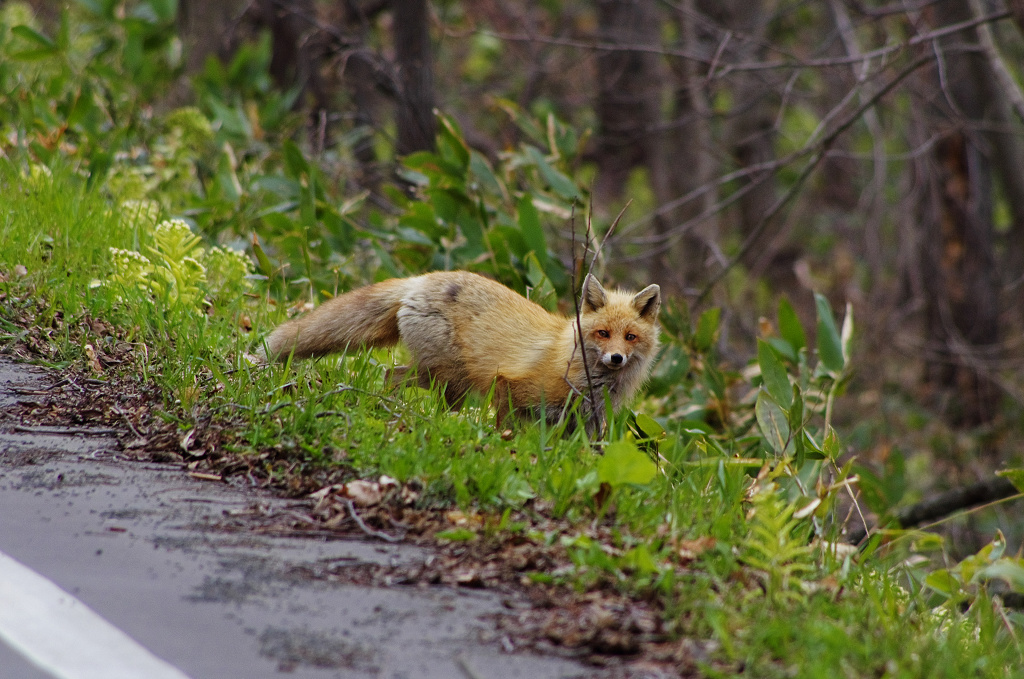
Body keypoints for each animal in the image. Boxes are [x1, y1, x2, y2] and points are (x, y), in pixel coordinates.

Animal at [262, 270, 663, 430]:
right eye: (603, 333)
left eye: (630, 337)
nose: (616, 358)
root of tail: (421, 279)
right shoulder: (509, 388)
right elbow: (507, 431)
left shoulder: (586, 423)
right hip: (451, 379)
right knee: (394, 376)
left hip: (444, 380)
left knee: (391, 375)